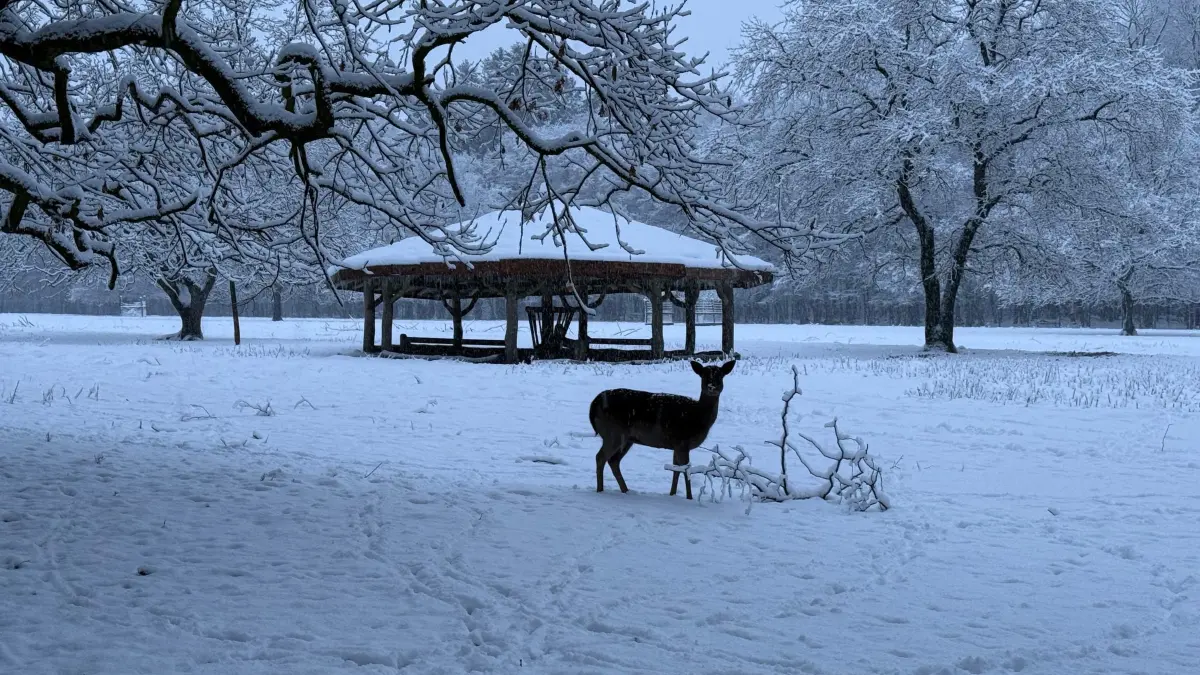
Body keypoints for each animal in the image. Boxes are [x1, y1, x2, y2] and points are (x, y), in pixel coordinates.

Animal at [588, 359, 735, 500]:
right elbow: (685, 470)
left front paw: (672, 495)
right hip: (613, 433)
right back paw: (600, 491)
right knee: (600, 457)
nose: (712, 386)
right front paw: (689, 498)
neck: (697, 417)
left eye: (720, 375)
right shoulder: (683, 441)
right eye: (704, 375)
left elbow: (676, 470)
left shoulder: (676, 445)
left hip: (627, 439)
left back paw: (625, 491)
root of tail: (594, 403)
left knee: (613, 461)